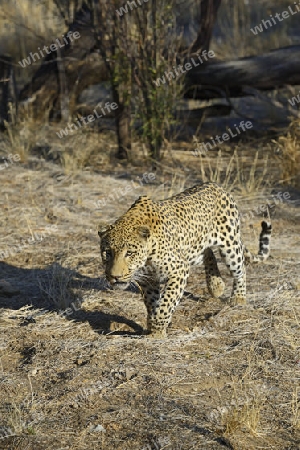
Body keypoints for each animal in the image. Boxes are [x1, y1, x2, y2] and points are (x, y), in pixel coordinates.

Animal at [99, 182, 272, 338]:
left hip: (229, 245)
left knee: (240, 268)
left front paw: (157, 329)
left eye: (129, 253)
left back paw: (238, 297)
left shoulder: (178, 269)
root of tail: (217, 186)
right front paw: (153, 327)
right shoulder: (148, 279)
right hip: (194, 249)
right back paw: (216, 285)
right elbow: (152, 301)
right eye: (107, 253)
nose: (114, 277)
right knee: (208, 253)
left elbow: (166, 302)